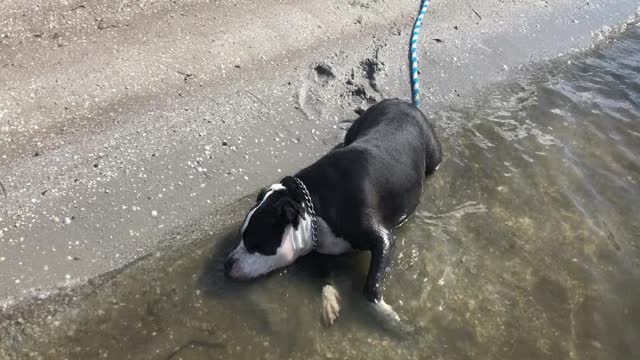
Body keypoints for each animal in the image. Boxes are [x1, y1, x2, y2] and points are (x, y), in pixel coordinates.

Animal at [224, 98, 440, 326]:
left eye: (255, 242)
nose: (226, 264)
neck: (312, 203)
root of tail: (400, 101)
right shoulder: (320, 243)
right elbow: (324, 272)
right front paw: (328, 301)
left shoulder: (383, 240)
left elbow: (371, 284)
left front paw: (386, 313)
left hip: (433, 156)